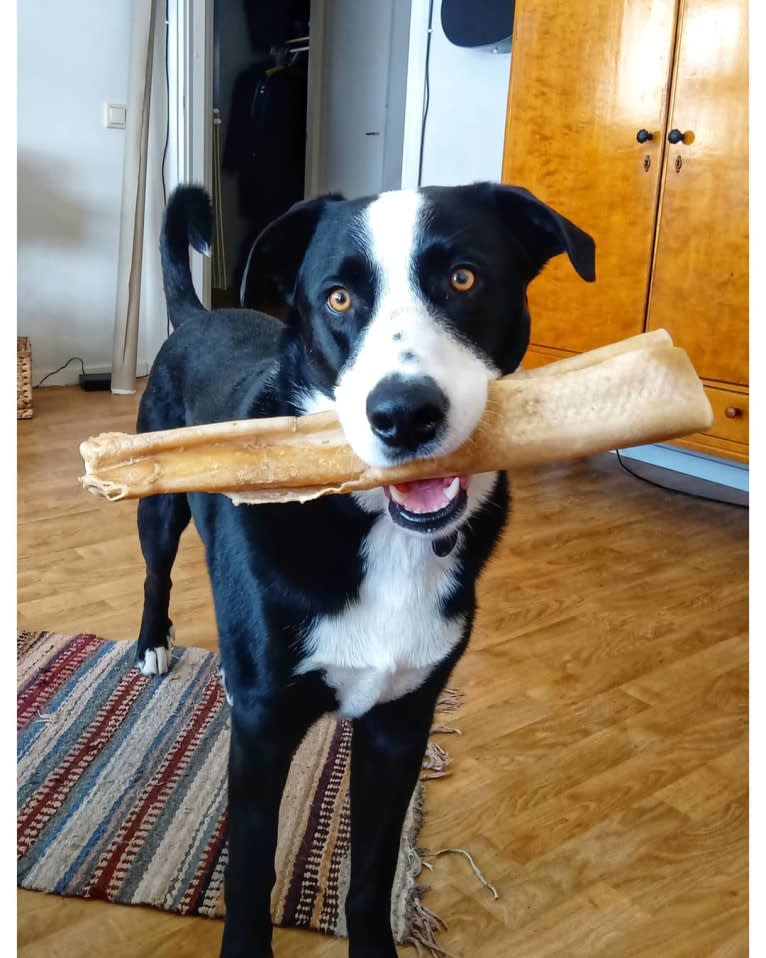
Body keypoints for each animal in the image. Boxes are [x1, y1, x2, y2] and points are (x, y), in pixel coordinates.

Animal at [135, 184, 596, 956]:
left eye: (463, 278)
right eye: (340, 298)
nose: (404, 415)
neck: (380, 531)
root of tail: (199, 313)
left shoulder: (401, 722)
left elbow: (373, 871)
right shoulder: (262, 731)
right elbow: (249, 877)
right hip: (158, 505)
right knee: (156, 572)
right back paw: (151, 645)